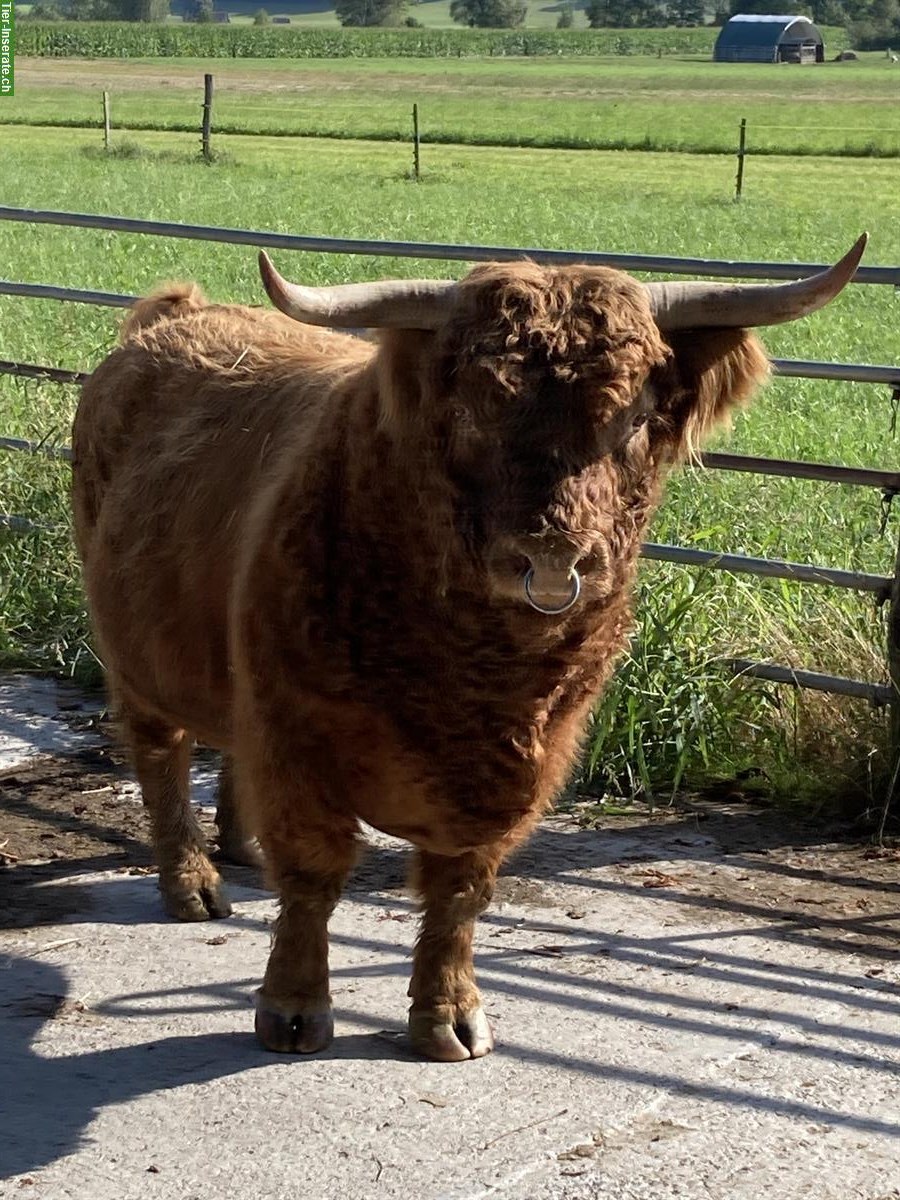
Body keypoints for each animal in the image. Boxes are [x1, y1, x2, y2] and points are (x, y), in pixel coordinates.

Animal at [72, 234, 868, 1060]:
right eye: (476, 408)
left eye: (638, 413)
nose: (551, 556)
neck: (474, 678)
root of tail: (174, 316)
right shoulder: (298, 739)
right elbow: (314, 874)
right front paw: (293, 1008)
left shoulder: (524, 768)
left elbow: (460, 889)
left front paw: (449, 1014)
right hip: (134, 653)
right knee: (162, 755)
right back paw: (193, 883)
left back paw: (240, 851)